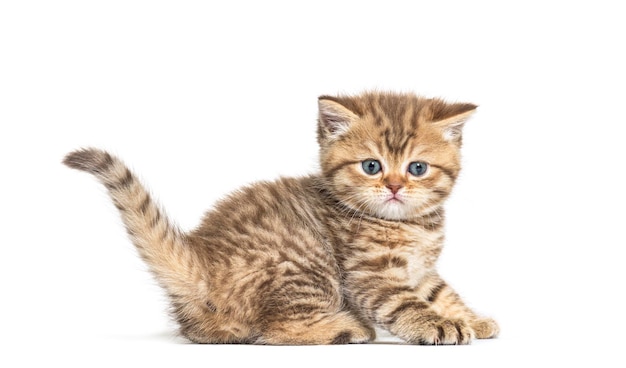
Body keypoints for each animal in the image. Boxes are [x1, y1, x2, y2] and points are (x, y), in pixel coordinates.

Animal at [64, 90, 498, 344]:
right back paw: (347, 328)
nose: (394, 187)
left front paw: (471, 319)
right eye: (372, 166)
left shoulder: (421, 270)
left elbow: (442, 293)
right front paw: (437, 325)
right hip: (306, 265)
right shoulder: (369, 275)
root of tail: (201, 261)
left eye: (417, 168)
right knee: (275, 330)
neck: (408, 224)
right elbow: (403, 303)